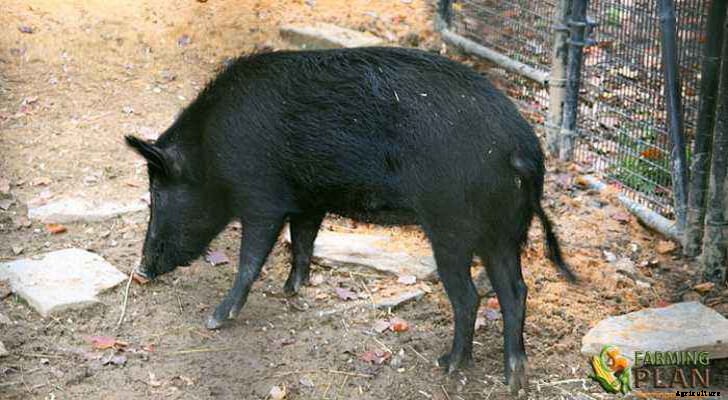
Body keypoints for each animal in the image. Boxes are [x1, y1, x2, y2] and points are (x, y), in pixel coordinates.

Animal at [125, 46, 576, 394]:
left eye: (157, 194)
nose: (142, 269)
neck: (210, 150)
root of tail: (521, 150)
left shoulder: (262, 198)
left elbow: (251, 260)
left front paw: (216, 319)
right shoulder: (308, 199)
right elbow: (303, 241)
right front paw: (292, 290)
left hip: (451, 227)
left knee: (469, 296)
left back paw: (447, 363)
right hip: (503, 231)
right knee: (516, 292)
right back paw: (514, 379)